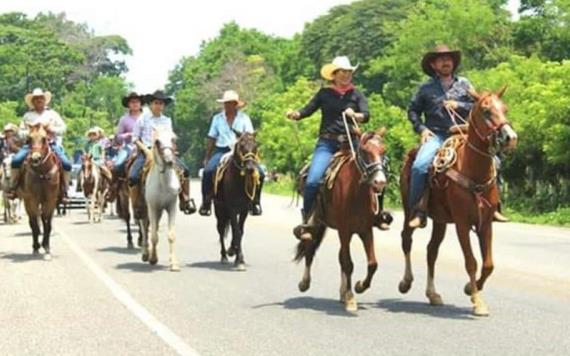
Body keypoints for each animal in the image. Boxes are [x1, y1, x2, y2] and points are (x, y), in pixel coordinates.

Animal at [18, 126, 60, 260]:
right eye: (29, 139)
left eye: (44, 138)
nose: (35, 158)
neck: (42, 173)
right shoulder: (32, 200)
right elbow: (36, 225)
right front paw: (37, 247)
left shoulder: (51, 200)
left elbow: (47, 223)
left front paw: (46, 248)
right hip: (27, 202)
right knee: (32, 222)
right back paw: (35, 246)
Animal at [139, 129, 179, 272]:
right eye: (157, 141)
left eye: (173, 139)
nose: (169, 161)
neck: (164, 184)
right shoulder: (152, 207)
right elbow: (153, 236)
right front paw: (153, 258)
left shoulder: (172, 206)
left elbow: (171, 235)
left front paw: (174, 264)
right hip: (145, 209)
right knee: (144, 227)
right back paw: (145, 253)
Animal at [212, 132, 260, 272]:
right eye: (241, 146)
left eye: (255, 146)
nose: (250, 168)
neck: (239, 181)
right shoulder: (232, 209)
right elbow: (236, 232)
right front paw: (239, 260)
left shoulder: (244, 210)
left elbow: (239, 231)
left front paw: (235, 253)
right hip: (219, 210)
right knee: (221, 230)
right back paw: (224, 255)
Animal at [292, 129, 386, 312]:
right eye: (364, 152)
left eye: (383, 151)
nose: (380, 182)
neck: (355, 192)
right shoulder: (344, 230)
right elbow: (348, 263)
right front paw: (350, 296)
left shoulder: (365, 230)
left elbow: (372, 263)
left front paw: (359, 286)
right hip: (316, 225)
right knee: (310, 249)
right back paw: (304, 283)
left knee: (339, 257)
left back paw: (342, 292)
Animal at [398, 87, 516, 316]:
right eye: (486, 111)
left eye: (505, 108)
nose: (510, 137)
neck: (473, 170)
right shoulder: (462, 223)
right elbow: (471, 262)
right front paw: (478, 302)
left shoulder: (485, 223)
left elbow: (488, 264)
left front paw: (471, 288)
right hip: (409, 210)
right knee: (406, 239)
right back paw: (406, 282)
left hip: (440, 221)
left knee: (431, 251)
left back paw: (433, 294)